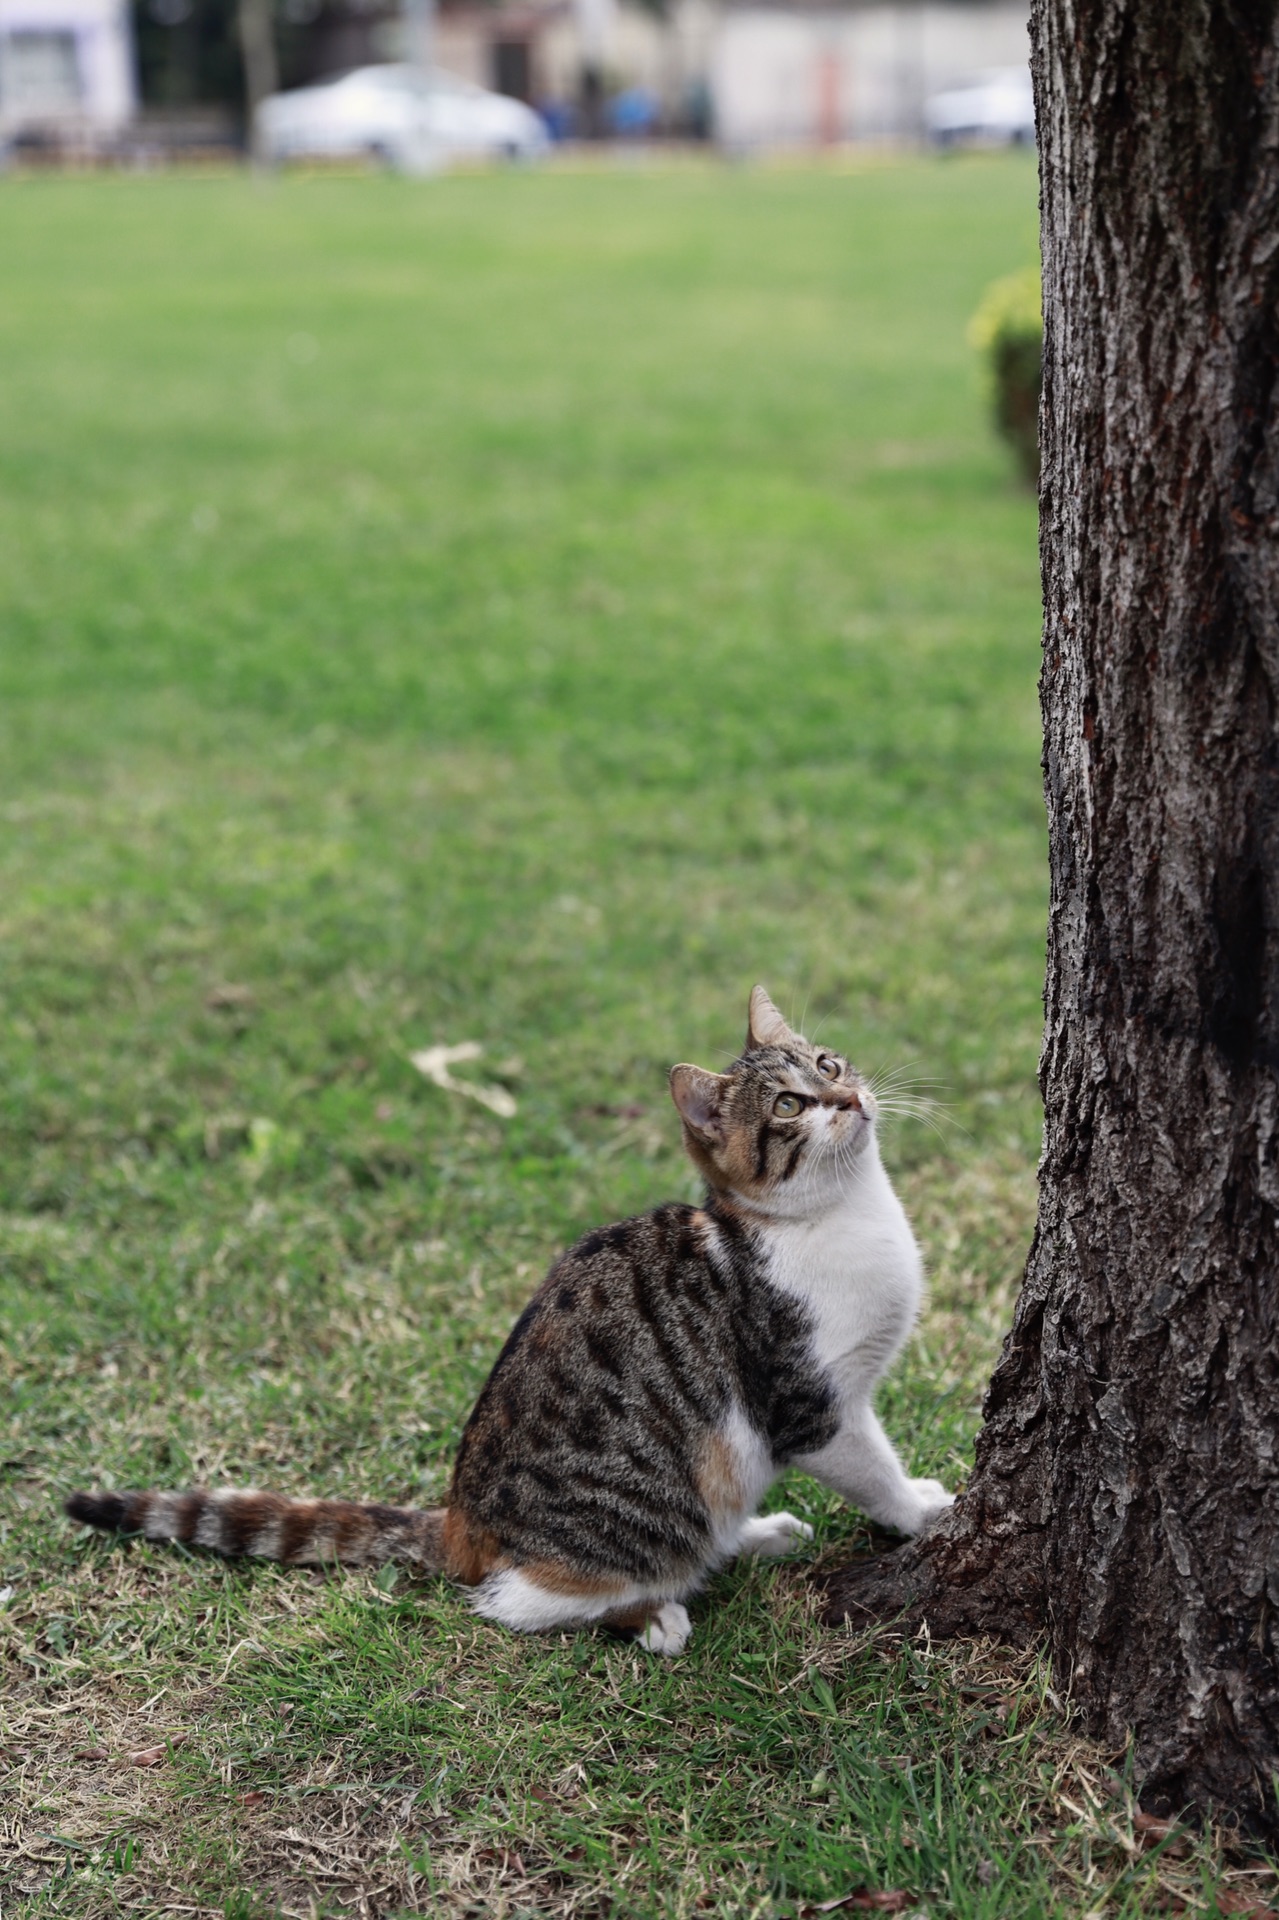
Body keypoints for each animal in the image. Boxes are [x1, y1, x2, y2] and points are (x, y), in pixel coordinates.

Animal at [67, 990, 944, 1651]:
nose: (848, 1097)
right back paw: (649, 1613)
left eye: (827, 1065)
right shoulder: (807, 1402)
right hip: (641, 1511)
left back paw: (752, 1534)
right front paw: (915, 1511)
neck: (840, 1214)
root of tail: (463, 1522)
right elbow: (867, 1464)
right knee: (522, 1600)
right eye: (791, 1106)